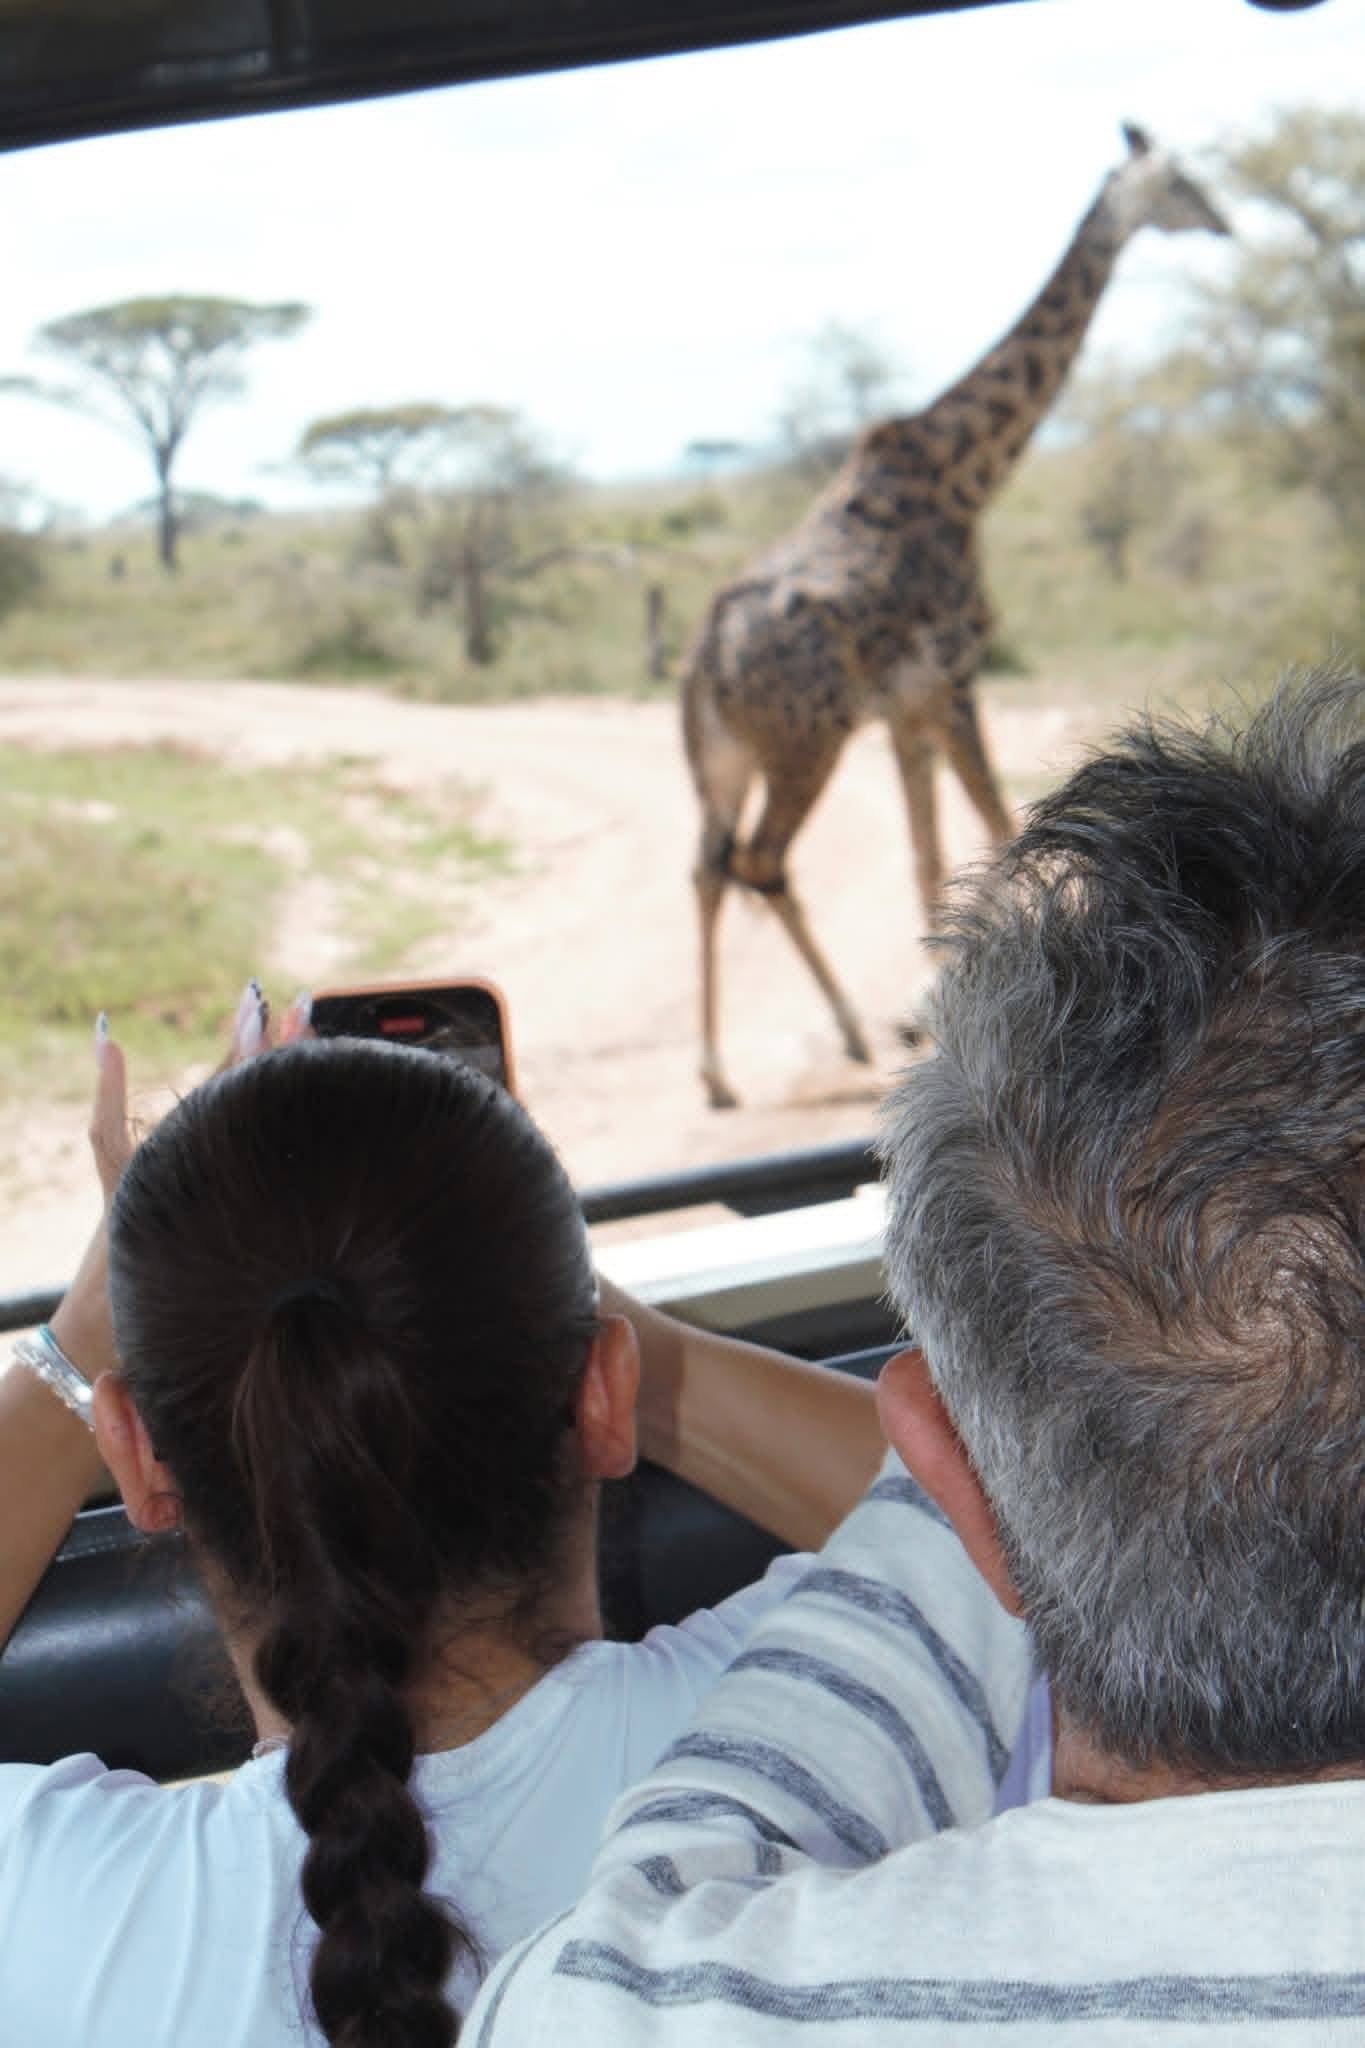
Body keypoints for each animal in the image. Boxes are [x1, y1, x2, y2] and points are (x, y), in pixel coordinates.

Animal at [682, 124, 1229, 1108]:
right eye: (1181, 181)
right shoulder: (952, 676)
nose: (1224, 220)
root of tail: (706, 656)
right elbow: (995, 828)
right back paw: (833, 1034)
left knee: (709, 869)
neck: (967, 475)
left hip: (724, 761)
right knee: (759, 862)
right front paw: (934, 1008)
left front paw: (929, 1002)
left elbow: (929, 850)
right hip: (803, 747)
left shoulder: (907, 704)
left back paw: (726, 1073)